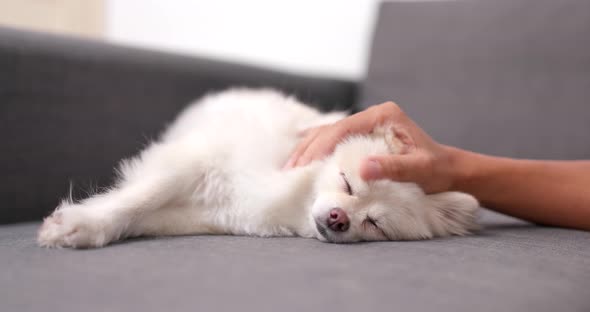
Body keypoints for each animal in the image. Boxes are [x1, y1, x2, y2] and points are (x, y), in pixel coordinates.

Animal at [38, 88, 480, 249]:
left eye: (374, 224)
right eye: (347, 184)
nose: (339, 219)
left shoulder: (206, 214)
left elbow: (145, 215)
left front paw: (88, 226)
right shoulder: (196, 160)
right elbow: (140, 197)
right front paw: (82, 223)